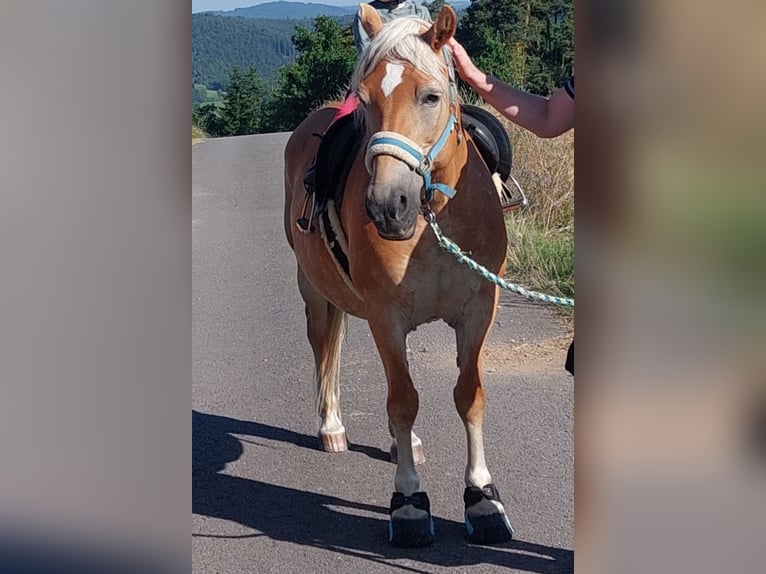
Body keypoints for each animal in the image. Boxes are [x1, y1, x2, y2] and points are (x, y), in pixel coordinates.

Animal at [283, 5, 513, 547]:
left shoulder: (479, 311)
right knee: (325, 349)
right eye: (365, 101)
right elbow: (403, 400)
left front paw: (482, 498)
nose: (388, 206)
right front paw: (408, 503)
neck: (435, 218)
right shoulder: (385, 315)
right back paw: (331, 427)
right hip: (317, 295)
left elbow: (468, 396)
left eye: (431, 96)